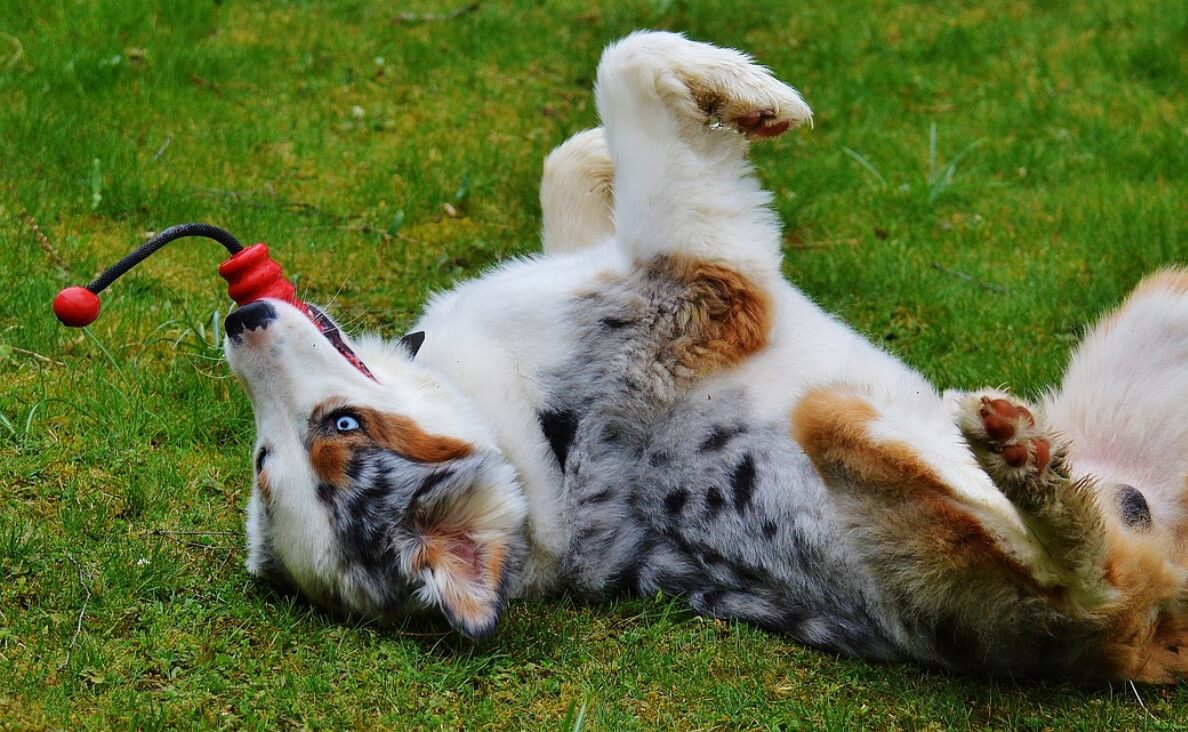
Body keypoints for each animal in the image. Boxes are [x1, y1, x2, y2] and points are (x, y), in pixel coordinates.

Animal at [223, 31, 1188, 684]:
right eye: (335, 427)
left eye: (275, 456)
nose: (240, 320)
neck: (521, 433)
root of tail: (1139, 648)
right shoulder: (714, 274)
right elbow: (626, 63)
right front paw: (759, 97)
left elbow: (572, 153)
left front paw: (684, 113)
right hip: (862, 440)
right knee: (1088, 578)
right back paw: (1018, 457)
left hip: (1164, 300)